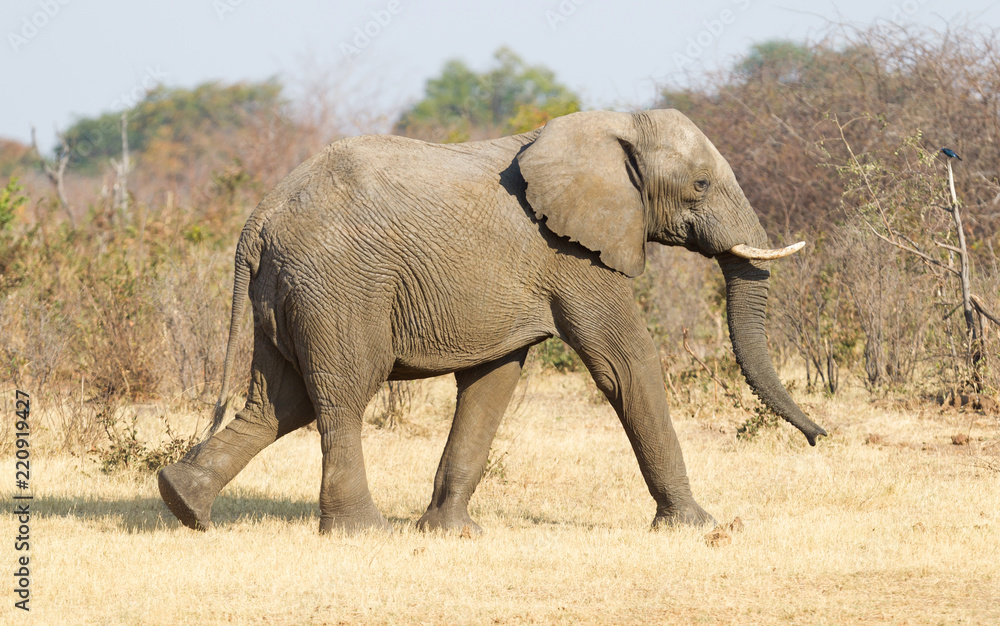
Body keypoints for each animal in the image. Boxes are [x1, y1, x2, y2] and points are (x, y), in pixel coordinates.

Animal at [158, 109, 826, 535]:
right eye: (701, 183)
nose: (820, 438)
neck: (613, 124)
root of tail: (258, 220)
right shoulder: (572, 253)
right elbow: (625, 364)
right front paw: (697, 526)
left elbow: (492, 381)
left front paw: (452, 533)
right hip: (339, 285)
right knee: (342, 392)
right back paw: (363, 532)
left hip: (288, 290)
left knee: (279, 401)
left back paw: (181, 503)